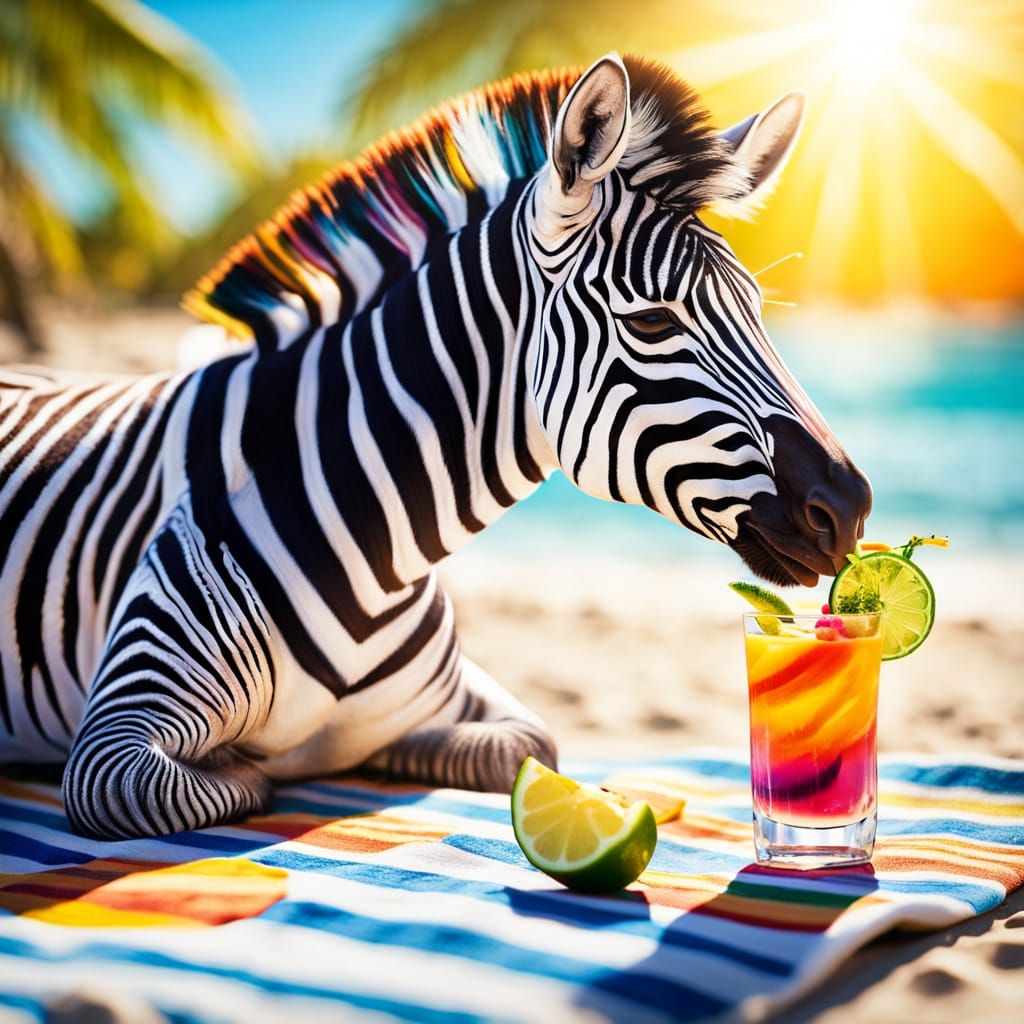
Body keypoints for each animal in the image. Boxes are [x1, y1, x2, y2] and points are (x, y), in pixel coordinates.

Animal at [0, 54, 871, 839]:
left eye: (756, 307)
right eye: (654, 321)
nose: (851, 507)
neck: (384, 554)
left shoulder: (478, 706)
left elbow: (524, 745)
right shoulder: (113, 735)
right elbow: (168, 787)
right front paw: (249, 767)